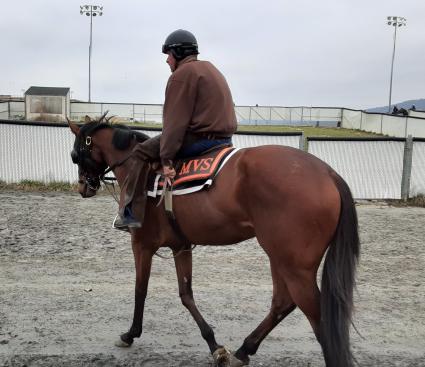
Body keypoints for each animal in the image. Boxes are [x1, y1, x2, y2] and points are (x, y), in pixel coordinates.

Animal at [68, 117, 360, 367]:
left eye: (76, 154)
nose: (83, 186)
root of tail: (327, 173)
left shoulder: (141, 246)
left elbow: (141, 289)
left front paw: (130, 334)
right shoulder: (181, 246)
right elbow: (186, 294)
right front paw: (214, 345)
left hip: (292, 265)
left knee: (315, 315)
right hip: (280, 258)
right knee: (282, 302)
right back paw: (244, 349)